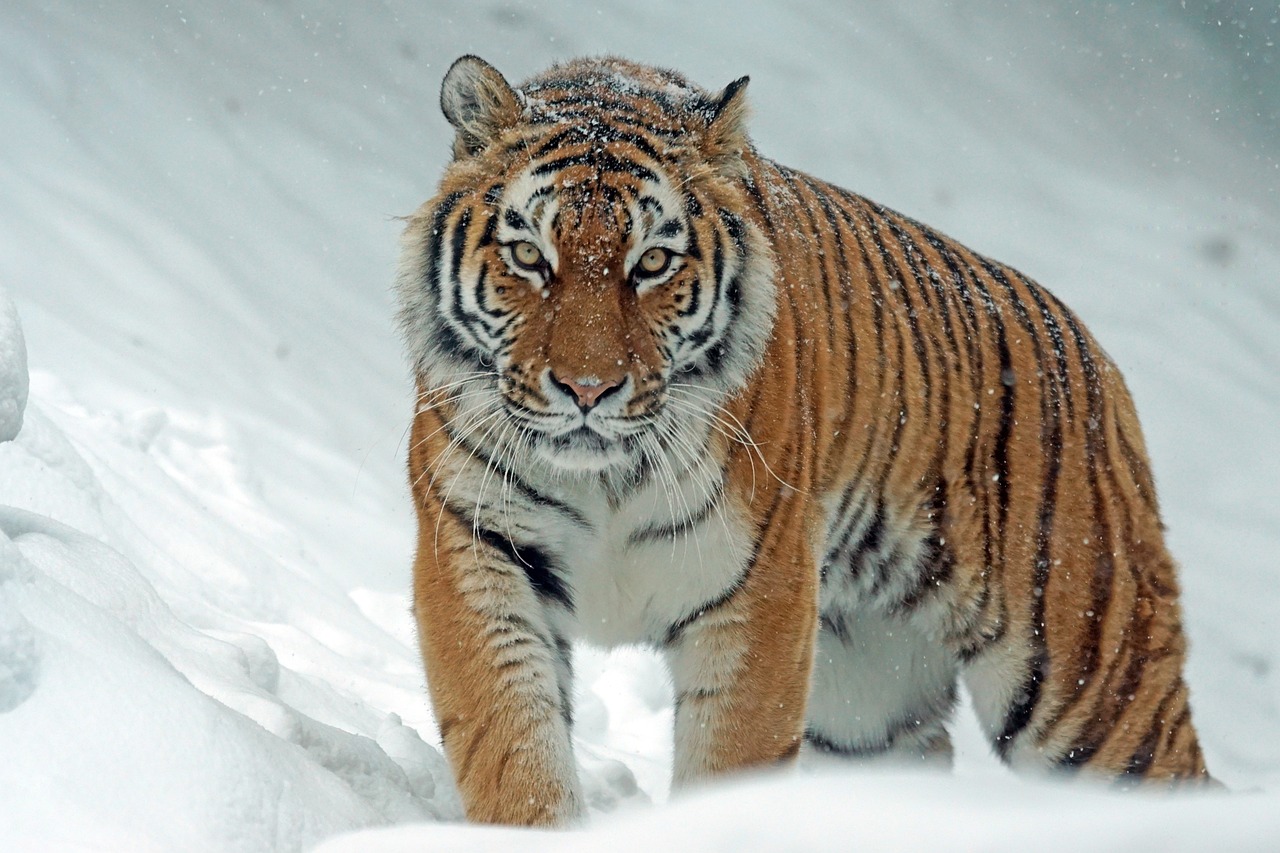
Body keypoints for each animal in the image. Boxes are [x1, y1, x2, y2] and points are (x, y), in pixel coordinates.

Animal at [394, 54, 1213, 824]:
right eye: (530, 256)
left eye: (652, 262)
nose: (588, 390)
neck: (605, 478)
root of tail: (1097, 358)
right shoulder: (478, 549)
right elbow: (512, 744)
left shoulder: (760, 594)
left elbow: (729, 762)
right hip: (868, 705)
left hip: (1090, 684)